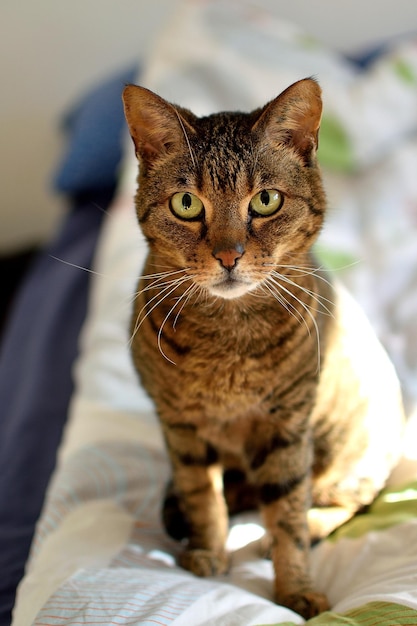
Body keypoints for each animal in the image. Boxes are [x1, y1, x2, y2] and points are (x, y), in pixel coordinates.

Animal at [121, 79, 404, 620]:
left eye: (266, 200)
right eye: (186, 204)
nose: (228, 255)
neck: (227, 344)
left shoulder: (287, 426)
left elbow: (288, 514)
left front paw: (296, 588)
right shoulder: (181, 427)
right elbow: (201, 495)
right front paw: (208, 550)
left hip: (352, 448)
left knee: (344, 500)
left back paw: (305, 526)